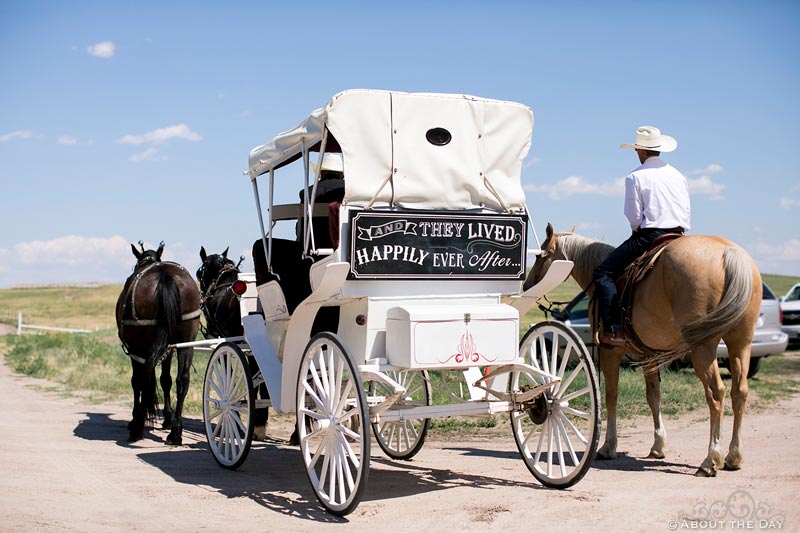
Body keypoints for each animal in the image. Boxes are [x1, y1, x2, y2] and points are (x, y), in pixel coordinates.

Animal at [116, 241, 202, 440]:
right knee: (182, 379)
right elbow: (166, 379)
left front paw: (136, 418)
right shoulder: (169, 348)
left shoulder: (135, 350)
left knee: (144, 378)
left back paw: (138, 425)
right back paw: (175, 431)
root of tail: (165, 276)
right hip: (186, 341)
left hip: (140, 345)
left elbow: (137, 381)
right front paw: (168, 419)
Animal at [524, 222, 764, 476]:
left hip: (704, 348)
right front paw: (658, 445)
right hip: (741, 344)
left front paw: (608, 446)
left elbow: (611, 396)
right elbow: (653, 396)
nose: (528, 285)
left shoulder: (610, 351)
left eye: (540, 256)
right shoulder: (649, 355)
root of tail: (730, 253)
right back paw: (733, 456)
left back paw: (711, 460)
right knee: (740, 392)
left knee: (716, 393)